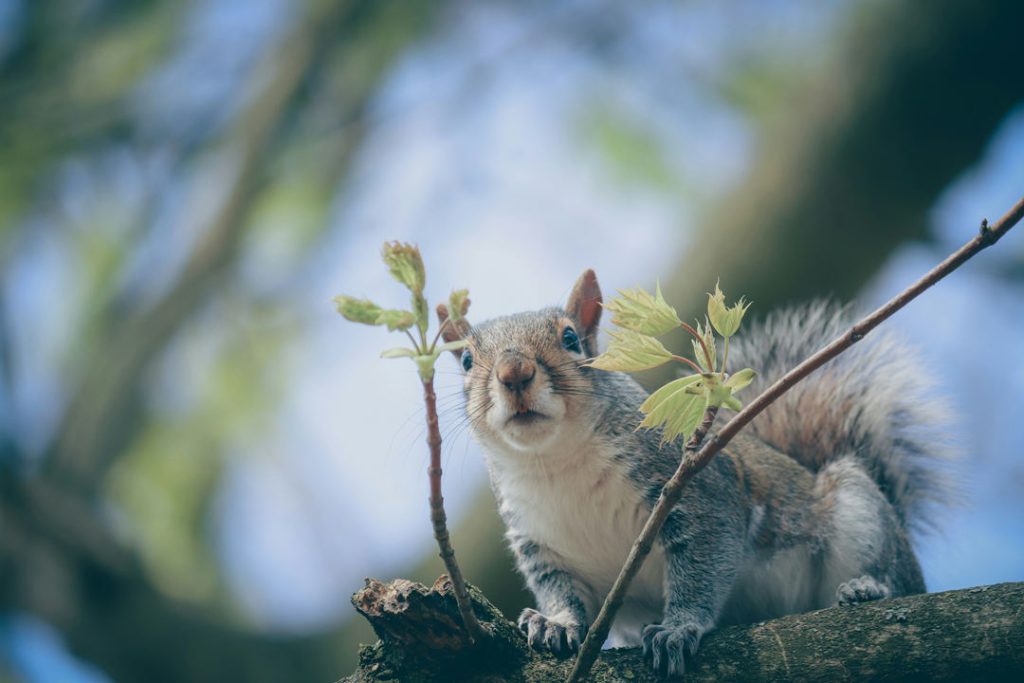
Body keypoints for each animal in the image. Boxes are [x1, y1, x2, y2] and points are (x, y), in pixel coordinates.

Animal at [436, 268, 946, 679]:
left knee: (896, 573)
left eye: (570, 339)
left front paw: (679, 628)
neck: (558, 461)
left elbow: (702, 567)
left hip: (858, 511)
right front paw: (555, 623)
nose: (514, 372)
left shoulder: (699, 495)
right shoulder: (539, 544)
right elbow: (561, 591)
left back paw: (869, 589)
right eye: (467, 361)